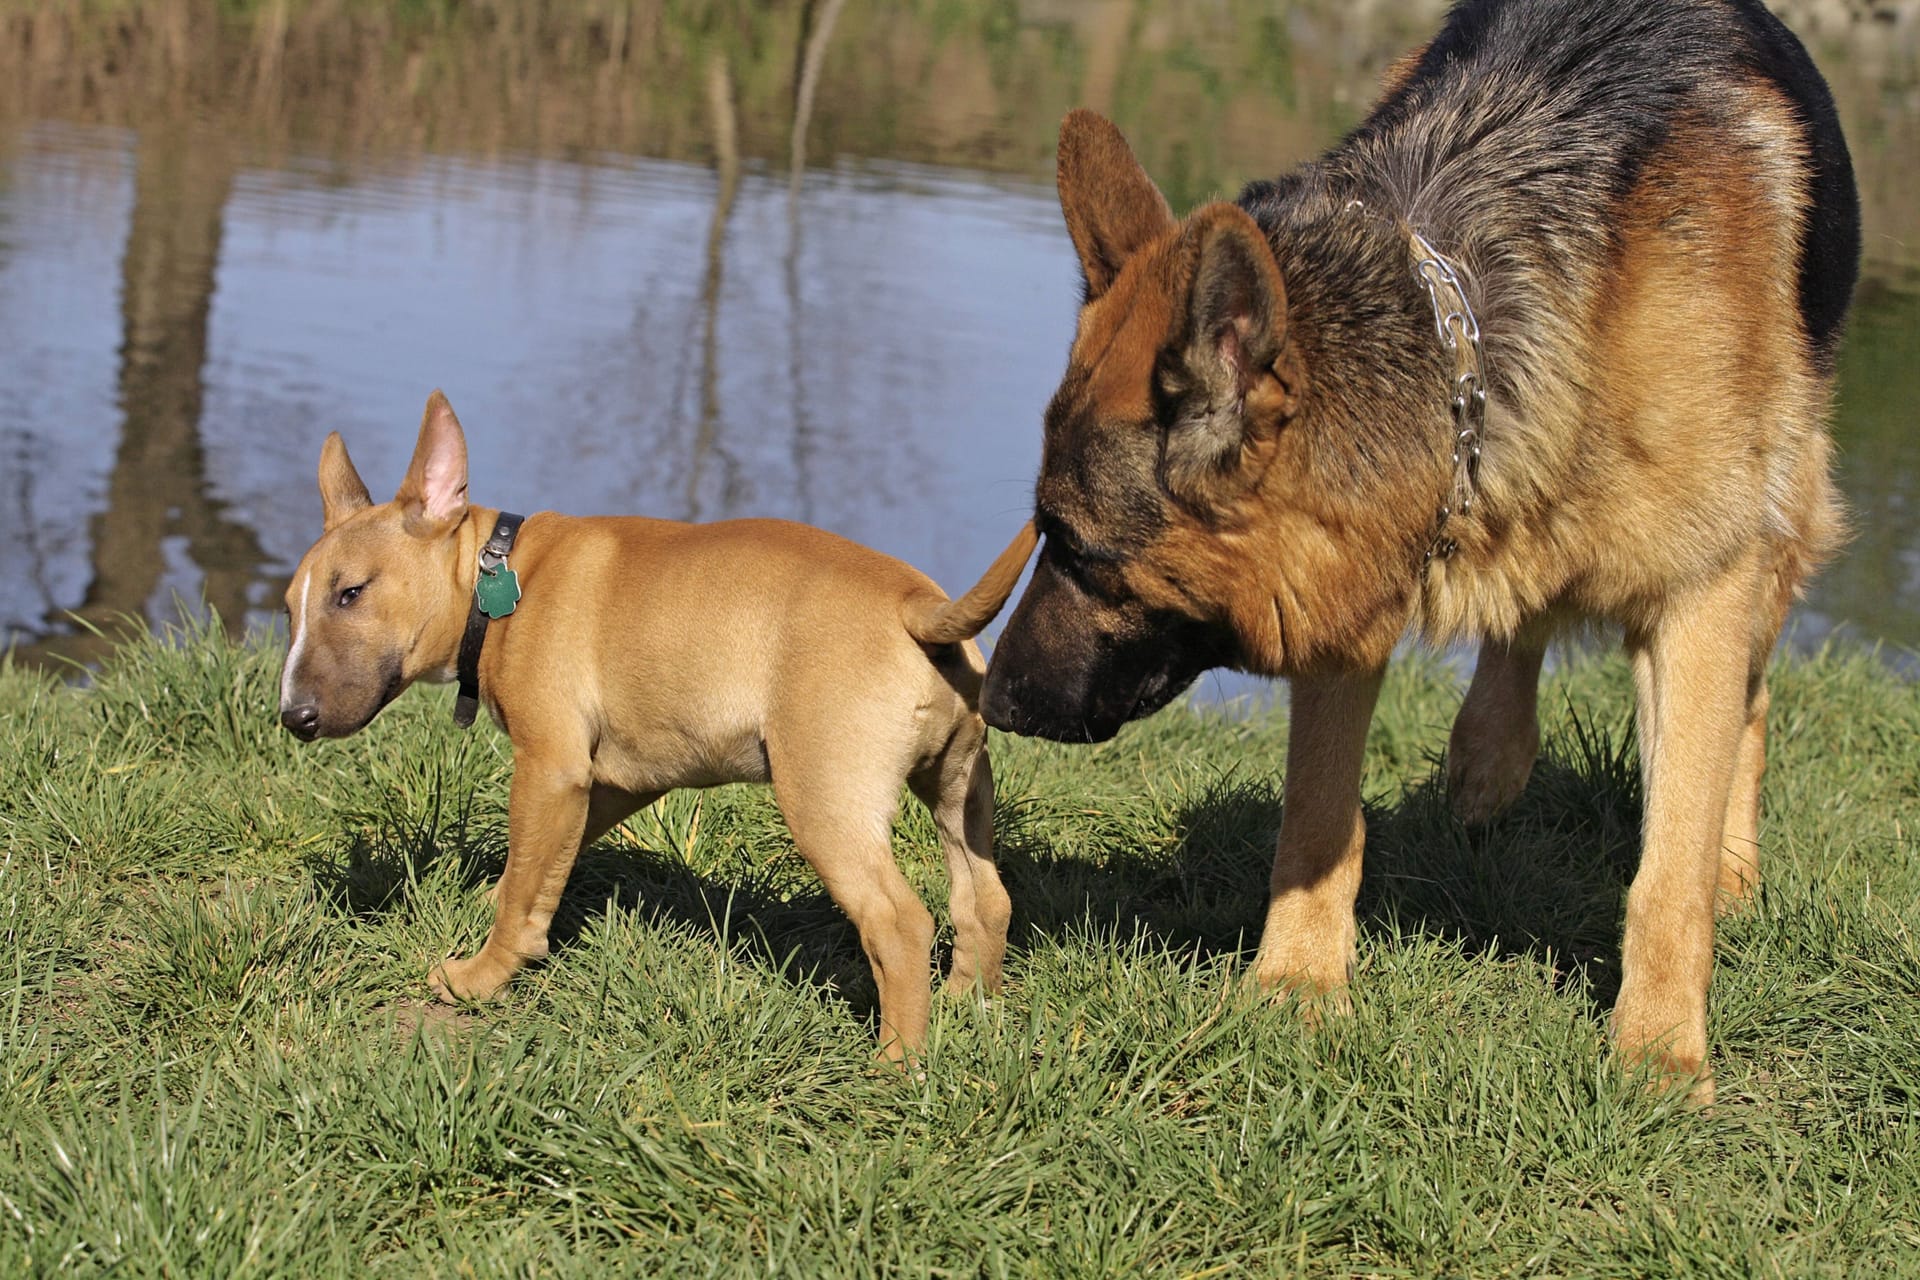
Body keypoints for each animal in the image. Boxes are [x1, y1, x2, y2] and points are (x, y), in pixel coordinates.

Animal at [983, 0, 1850, 1105]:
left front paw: (1660, 1051)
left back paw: (1733, 862)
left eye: (1081, 551)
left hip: (1778, 526)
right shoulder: (1352, 589)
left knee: (1751, 701)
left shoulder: (1703, 591)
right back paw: (1486, 761)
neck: (1465, 332)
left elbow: (1671, 867)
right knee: (1521, 630)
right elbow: (1318, 817)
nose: (991, 702)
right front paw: (1297, 990)